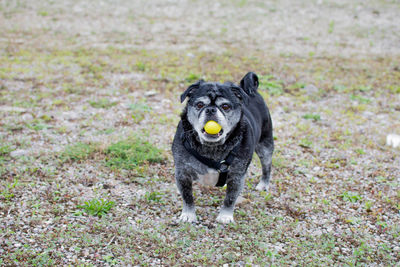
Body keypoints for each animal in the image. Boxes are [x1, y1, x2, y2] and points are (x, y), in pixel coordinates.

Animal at [170, 71, 274, 224]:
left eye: (225, 106)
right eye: (199, 104)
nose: (211, 109)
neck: (211, 147)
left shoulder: (237, 176)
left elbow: (230, 198)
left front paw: (225, 215)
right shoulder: (183, 173)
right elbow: (187, 196)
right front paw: (189, 214)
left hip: (265, 148)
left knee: (266, 167)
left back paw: (263, 184)